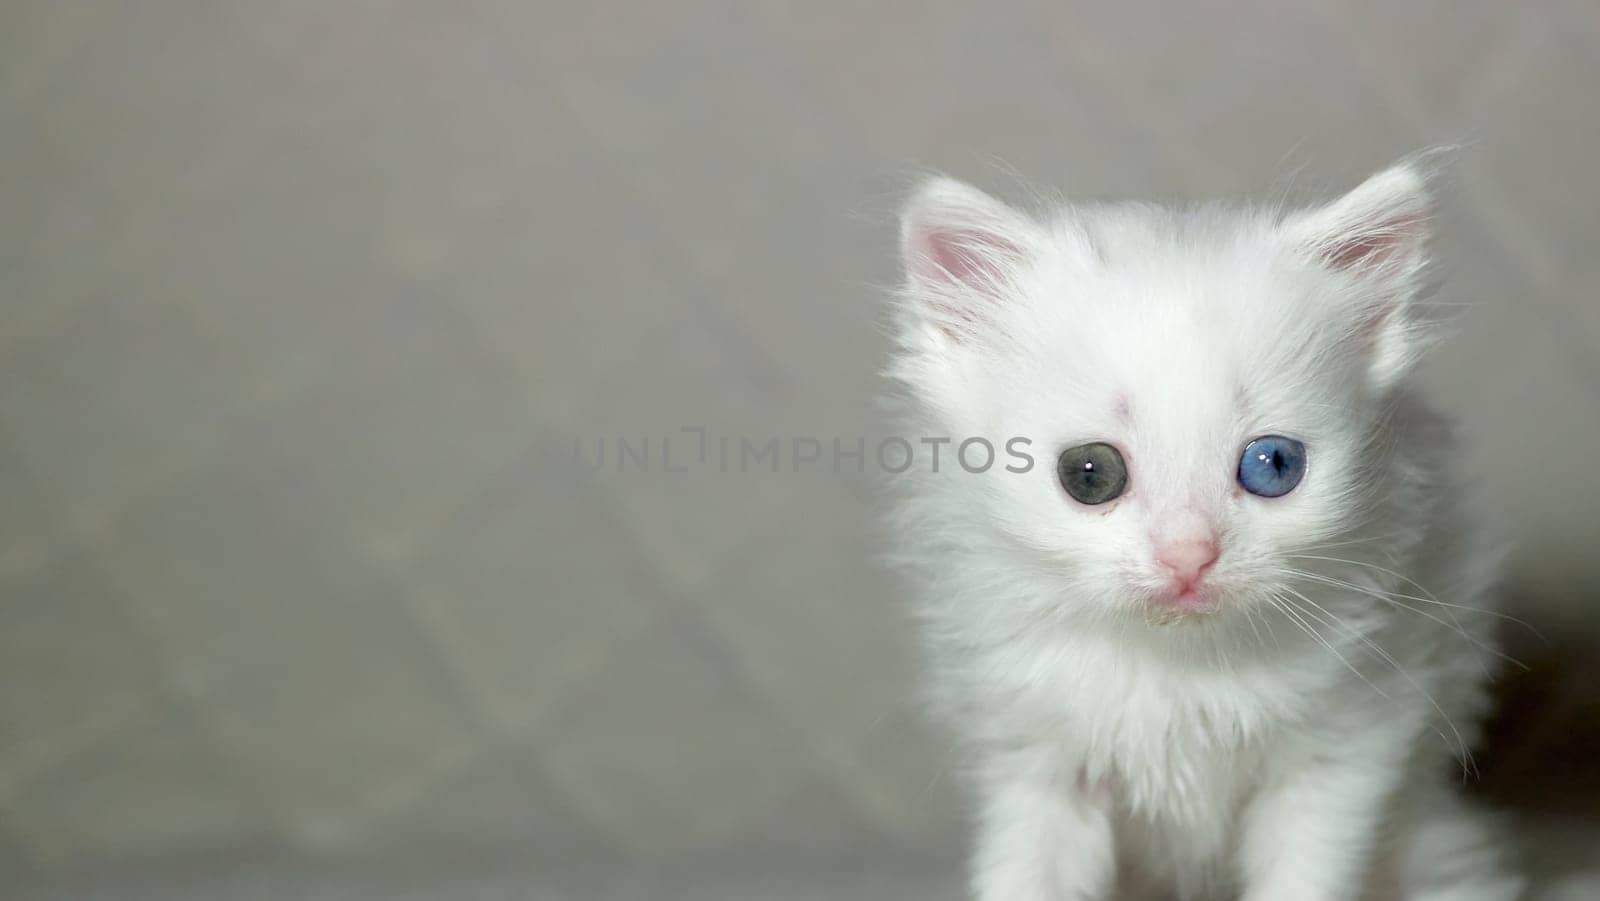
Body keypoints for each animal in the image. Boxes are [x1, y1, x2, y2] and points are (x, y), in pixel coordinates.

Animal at [889, 158, 1523, 896]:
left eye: (1273, 464)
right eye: (1088, 472)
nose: (1189, 555)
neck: (1178, 667)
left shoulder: (1344, 747)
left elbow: (1305, 873)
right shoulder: (1033, 761)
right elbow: (1029, 873)